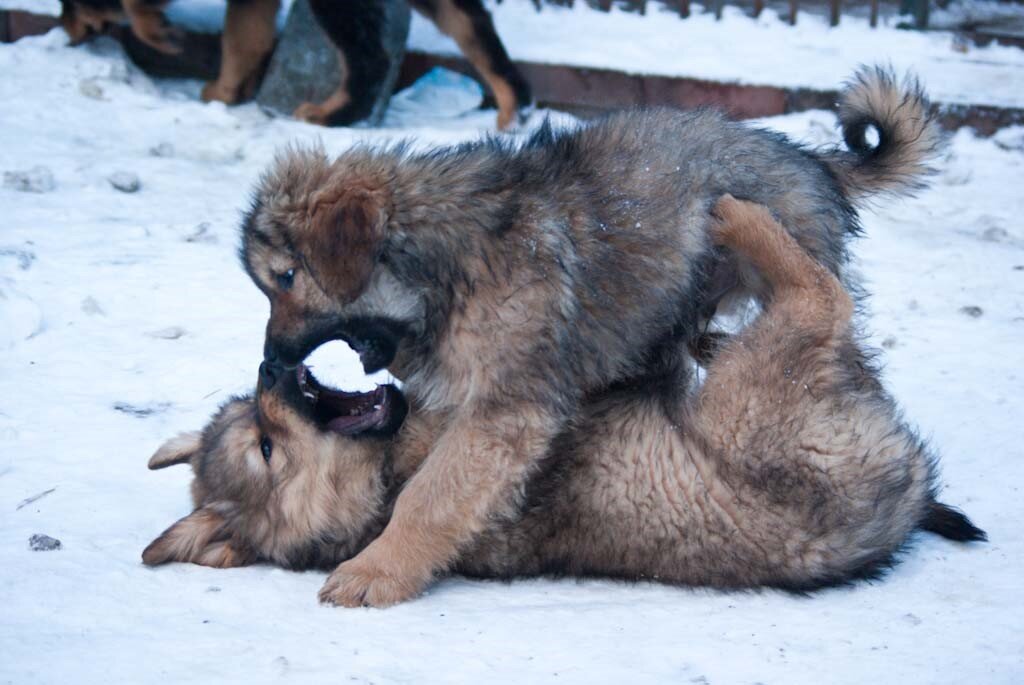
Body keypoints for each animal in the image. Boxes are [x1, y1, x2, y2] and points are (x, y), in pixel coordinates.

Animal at [58, 0, 532, 129]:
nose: (67, 35)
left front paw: (159, 32)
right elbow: (244, 38)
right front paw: (225, 92)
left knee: (368, 58)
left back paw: (331, 115)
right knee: (474, 26)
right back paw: (514, 108)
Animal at [237, 68, 937, 602]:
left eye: (286, 278)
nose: (269, 365)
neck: (442, 262)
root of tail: (813, 160)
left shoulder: (504, 412)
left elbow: (431, 495)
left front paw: (375, 570)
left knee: (824, 310)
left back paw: (737, 220)